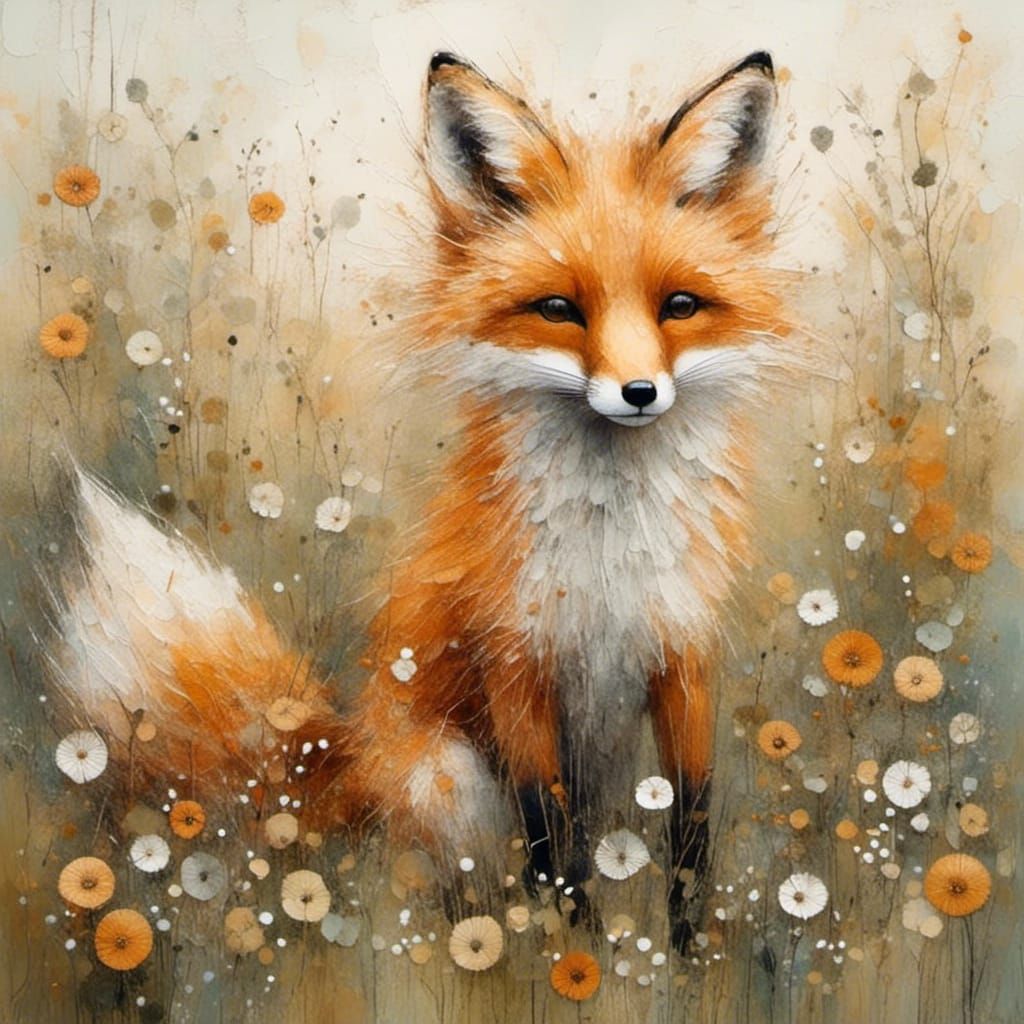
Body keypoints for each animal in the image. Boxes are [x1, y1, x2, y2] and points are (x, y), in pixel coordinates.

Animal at [57, 50, 791, 950]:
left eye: (679, 306)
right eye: (558, 310)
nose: (640, 393)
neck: (608, 549)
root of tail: (355, 753)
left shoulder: (682, 653)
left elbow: (691, 826)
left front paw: (685, 959)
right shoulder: (516, 662)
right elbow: (551, 837)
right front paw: (572, 958)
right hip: (448, 778)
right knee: (452, 884)